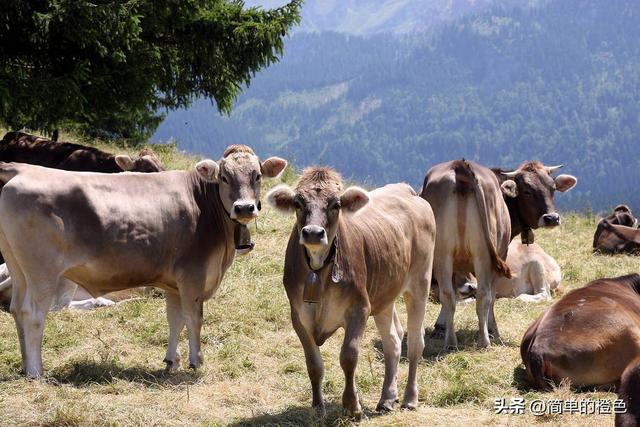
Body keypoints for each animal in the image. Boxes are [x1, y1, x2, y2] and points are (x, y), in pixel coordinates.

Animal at [0, 146, 288, 378]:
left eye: (257, 176)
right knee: (34, 313)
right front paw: (196, 361)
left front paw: (172, 360)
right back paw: (36, 370)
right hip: (43, 270)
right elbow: (194, 318)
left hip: (18, 267)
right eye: (224, 177)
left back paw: (25, 365)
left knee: (16, 308)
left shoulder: (174, 283)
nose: (245, 208)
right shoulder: (193, 275)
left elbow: (175, 319)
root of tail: (22, 169)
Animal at [264, 169, 436, 420]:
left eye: (336, 204)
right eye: (298, 203)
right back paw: (387, 398)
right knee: (393, 341)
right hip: (384, 294)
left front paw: (352, 406)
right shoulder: (298, 315)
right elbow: (313, 364)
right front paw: (318, 407)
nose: (313, 233)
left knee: (415, 341)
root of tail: (406, 190)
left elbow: (348, 356)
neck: (318, 268)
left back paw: (409, 398)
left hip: (420, 283)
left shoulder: (359, 308)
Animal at [422, 159, 576, 350]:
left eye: (552, 188)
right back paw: (485, 340)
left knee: (448, 294)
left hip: (442, 254)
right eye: (527, 191)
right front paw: (492, 329)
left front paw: (440, 327)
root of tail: (459, 166)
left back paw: (451, 343)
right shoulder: (501, 254)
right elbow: (491, 296)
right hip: (484, 255)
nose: (552, 218)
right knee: (484, 294)